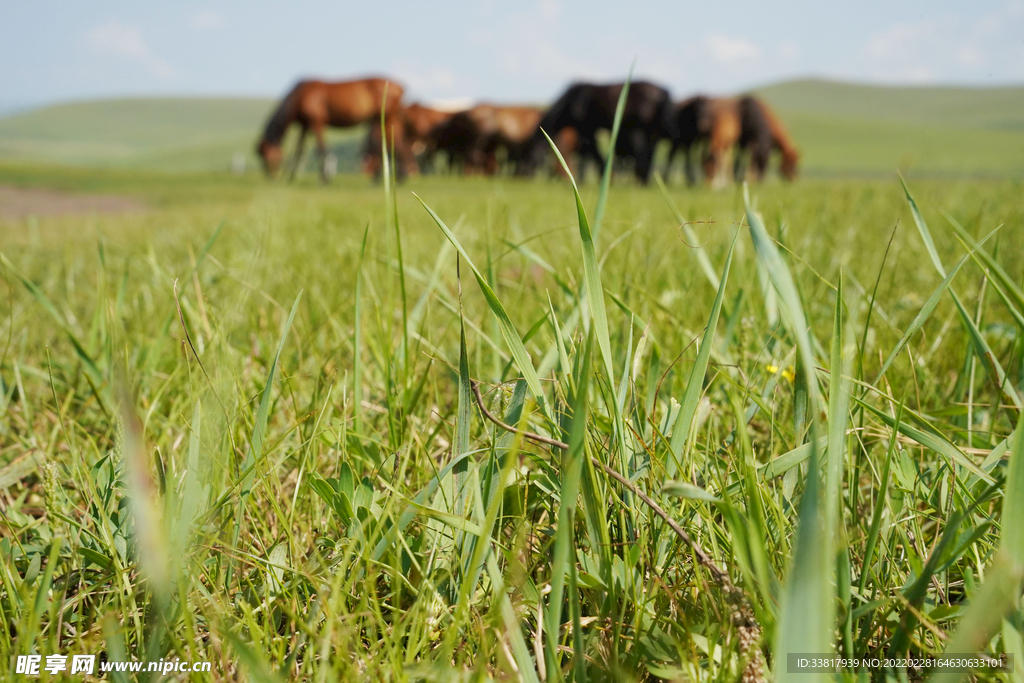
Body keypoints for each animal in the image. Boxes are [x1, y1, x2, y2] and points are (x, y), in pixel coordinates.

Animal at [256, 78, 415, 181]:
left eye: (267, 157)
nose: (270, 176)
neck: (298, 96)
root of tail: (401, 87)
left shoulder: (317, 122)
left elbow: (321, 149)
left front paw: (325, 178)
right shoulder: (305, 126)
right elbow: (299, 151)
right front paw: (291, 177)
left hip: (382, 118)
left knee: (389, 144)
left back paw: (386, 178)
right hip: (388, 119)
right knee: (397, 143)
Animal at [520, 80, 679, 184]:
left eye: (529, 152)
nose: (521, 174)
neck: (572, 100)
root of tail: (662, 90)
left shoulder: (586, 130)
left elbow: (594, 154)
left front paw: (608, 177)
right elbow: (590, 155)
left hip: (639, 129)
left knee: (642, 155)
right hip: (651, 132)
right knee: (649, 155)